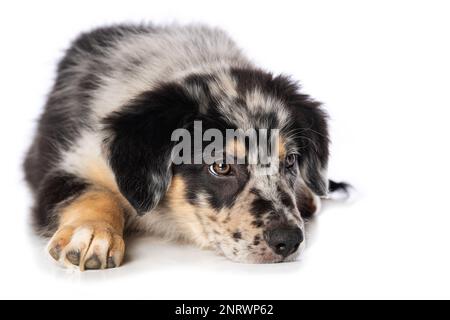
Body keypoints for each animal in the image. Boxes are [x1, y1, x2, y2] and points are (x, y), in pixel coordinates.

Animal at [23, 23, 348, 270]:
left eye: (290, 161)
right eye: (221, 167)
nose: (289, 241)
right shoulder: (76, 160)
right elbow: (95, 194)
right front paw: (91, 234)